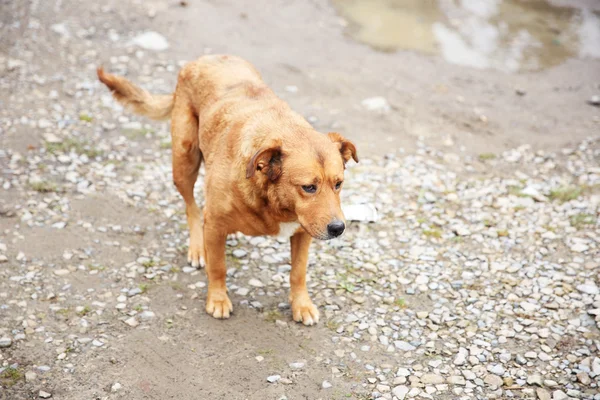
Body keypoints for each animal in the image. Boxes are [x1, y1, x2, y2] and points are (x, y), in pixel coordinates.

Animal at [98, 55, 356, 324]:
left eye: (338, 184)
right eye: (308, 187)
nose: (338, 229)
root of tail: (203, 59)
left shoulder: (303, 232)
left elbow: (298, 272)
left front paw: (301, 305)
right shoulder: (215, 225)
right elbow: (218, 267)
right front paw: (218, 299)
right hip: (184, 162)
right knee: (192, 208)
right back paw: (198, 248)